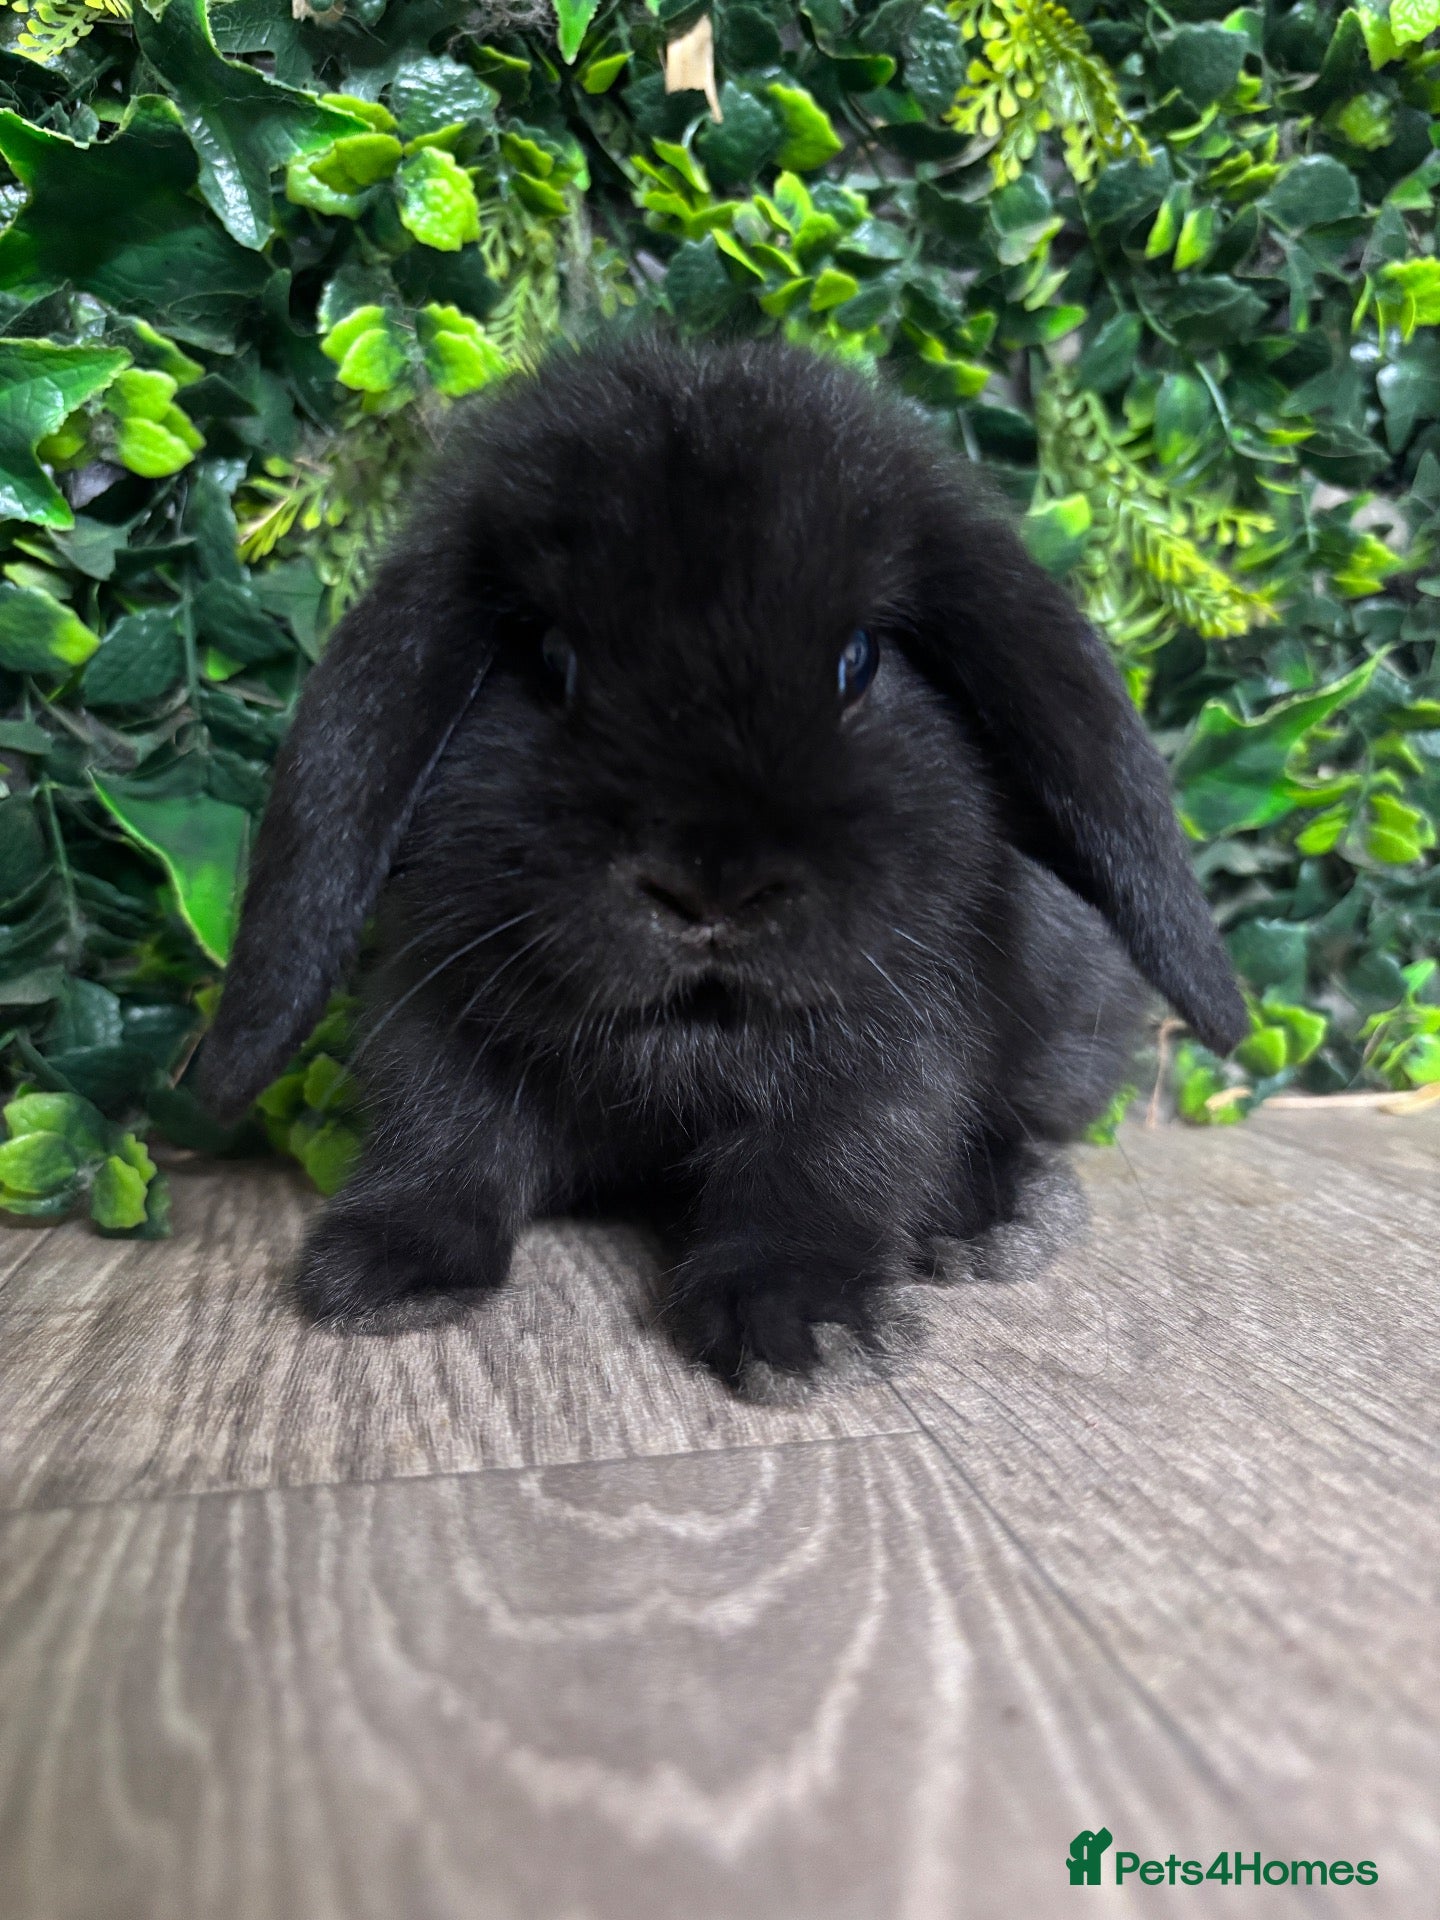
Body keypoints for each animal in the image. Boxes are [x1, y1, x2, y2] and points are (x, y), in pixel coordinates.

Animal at [200, 334, 1246, 1384]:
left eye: (858, 659)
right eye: (551, 660)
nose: (710, 891)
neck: (688, 1038)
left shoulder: (889, 1038)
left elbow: (833, 1158)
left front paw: (797, 1322)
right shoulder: (435, 1002)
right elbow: (445, 1130)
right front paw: (385, 1268)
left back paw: (1000, 1217)